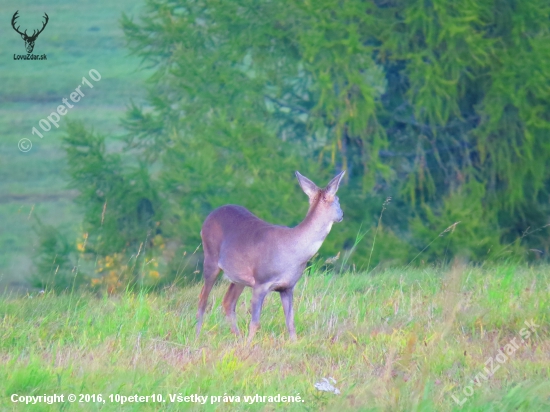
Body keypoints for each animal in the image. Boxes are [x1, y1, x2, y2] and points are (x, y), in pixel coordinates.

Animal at [197, 171, 344, 342]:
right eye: (338, 200)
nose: (342, 214)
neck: (294, 251)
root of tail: (209, 216)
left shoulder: (287, 287)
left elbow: (290, 322)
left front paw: (294, 343)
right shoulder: (261, 282)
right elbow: (255, 323)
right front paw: (249, 345)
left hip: (239, 277)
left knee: (227, 302)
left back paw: (238, 337)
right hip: (211, 258)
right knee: (203, 299)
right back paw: (198, 335)